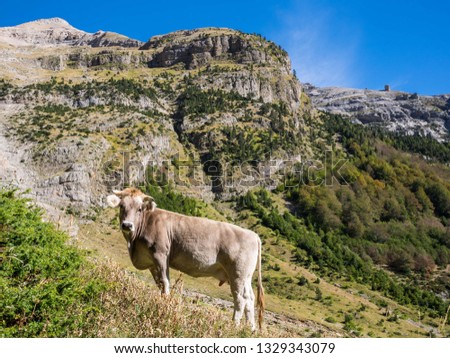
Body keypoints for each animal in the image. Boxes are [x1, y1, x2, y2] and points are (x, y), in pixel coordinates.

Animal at [107, 187, 266, 330]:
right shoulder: (151, 263)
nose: (127, 225)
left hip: (237, 273)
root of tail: (253, 234)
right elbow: (159, 284)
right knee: (250, 298)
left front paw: (165, 305)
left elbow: (165, 283)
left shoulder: (161, 255)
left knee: (240, 299)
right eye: (122, 206)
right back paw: (250, 328)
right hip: (246, 276)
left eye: (139, 209)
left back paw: (234, 326)